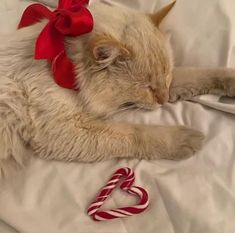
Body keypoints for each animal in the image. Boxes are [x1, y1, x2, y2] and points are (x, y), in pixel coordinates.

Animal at [0, 0, 235, 177]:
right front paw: (184, 139)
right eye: (147, 88)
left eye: (166, 74)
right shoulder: (64, 131)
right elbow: (134, 133)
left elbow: (196, 74)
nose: (163, 101)